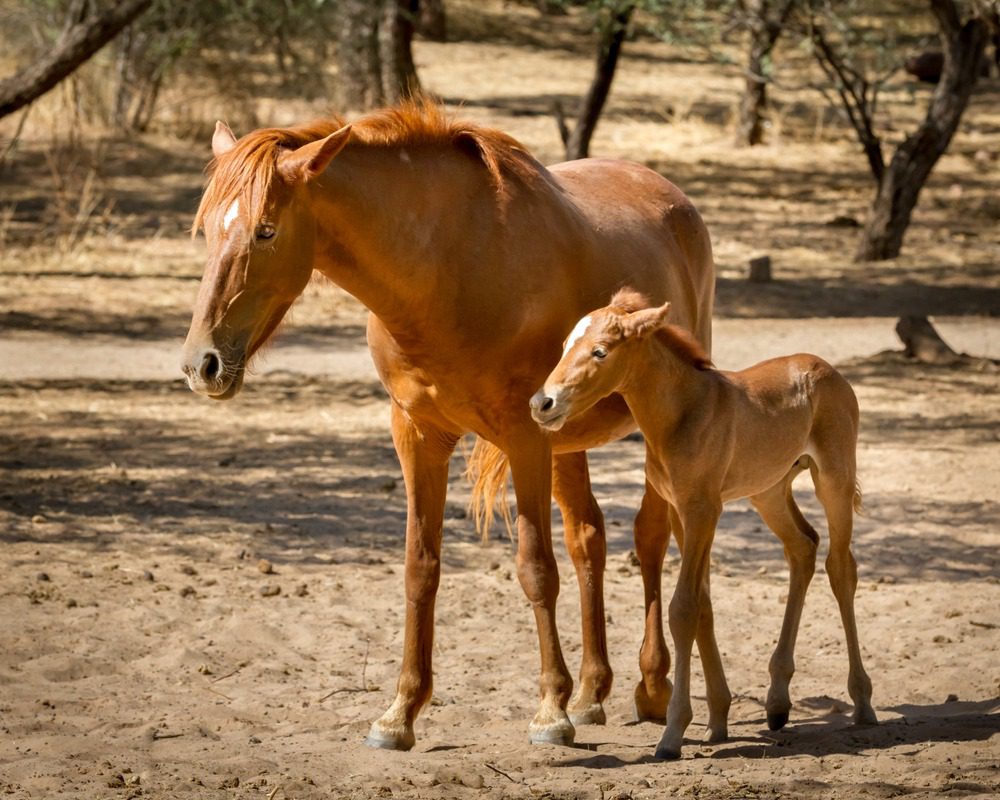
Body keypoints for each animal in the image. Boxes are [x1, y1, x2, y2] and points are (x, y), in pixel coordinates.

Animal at [180, 101, 715, 750]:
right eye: (208, 231)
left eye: (266, 230)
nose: (201, 364)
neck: (446, 268)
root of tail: (670, 196)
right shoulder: (418, 435)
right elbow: (421, 569)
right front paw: (400, 712)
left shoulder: (524, 436)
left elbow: (536, 569)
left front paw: (550, 709)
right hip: (567, 440)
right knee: (589, 540)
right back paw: (593, 692)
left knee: (650, 538)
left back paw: (652, 687)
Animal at [530, 290, 877, 759]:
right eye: (566, 345)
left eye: (600, 351)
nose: (541, 404)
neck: (683, 413)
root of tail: (828, 369)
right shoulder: (681, 511)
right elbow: (704, 606)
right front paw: (718, 719)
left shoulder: (702, 510)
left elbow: (683, 609)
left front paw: (673, 733)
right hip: (768, 491)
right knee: (803, 546)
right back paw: (777, 702)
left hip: (834, 481)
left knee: (841, 568)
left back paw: (862, 702)